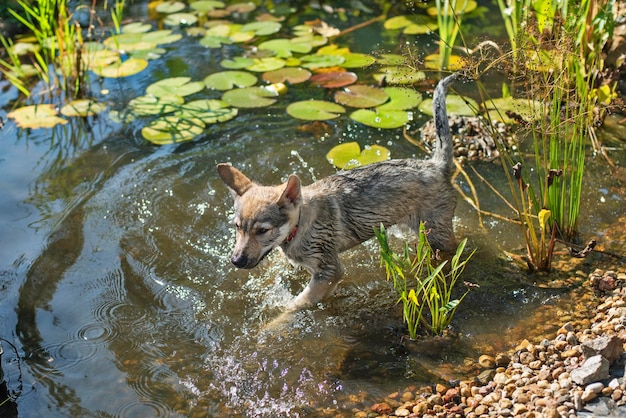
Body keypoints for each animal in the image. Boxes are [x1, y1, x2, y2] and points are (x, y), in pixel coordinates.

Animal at [218, 72, 458, 310]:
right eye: (237, 227)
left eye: (262, 231)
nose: (236, 261)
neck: (300, 225)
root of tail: (437, 165)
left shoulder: (329, 272)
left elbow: (292, 307)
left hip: (438, 236)